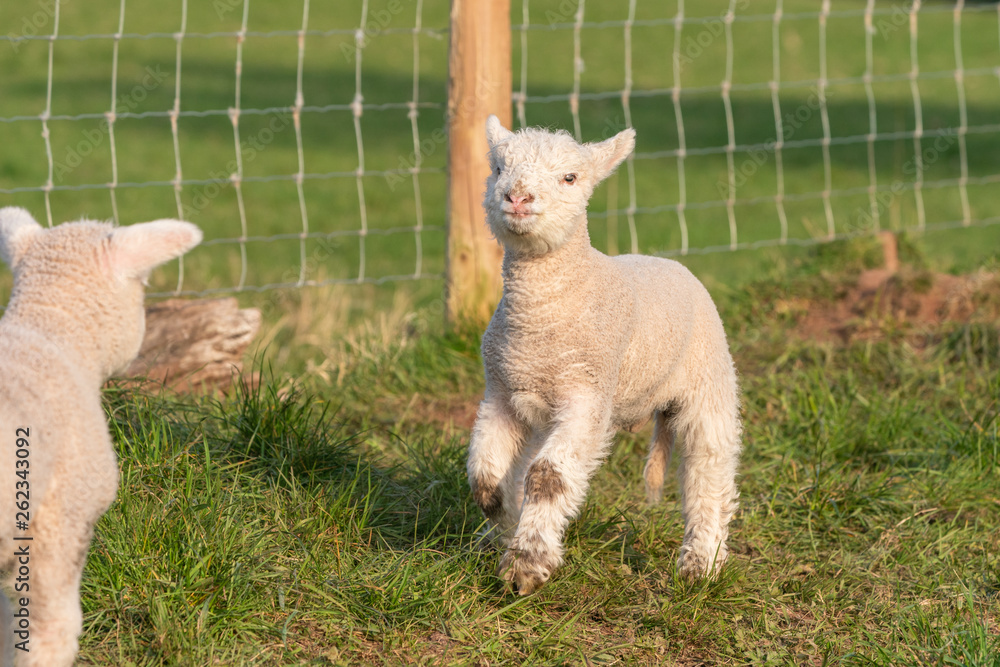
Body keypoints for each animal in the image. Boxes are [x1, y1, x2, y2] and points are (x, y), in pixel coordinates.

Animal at [467, 116, 742, 595]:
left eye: (570, 178)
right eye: (498, 168)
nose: (517, 198)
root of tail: (665, 260)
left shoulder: (588, 394)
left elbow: (548, 477)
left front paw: (526, 564)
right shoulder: (501, 393)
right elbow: (487, 480)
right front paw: (505, 529)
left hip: (709, 376)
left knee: (709, 465)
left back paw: (700, 565)